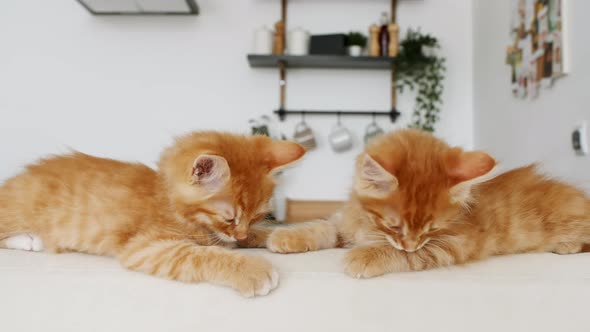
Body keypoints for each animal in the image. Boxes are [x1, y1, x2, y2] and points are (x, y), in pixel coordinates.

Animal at [0, 132, 306, 296]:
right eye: (229, 217)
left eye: (256, 216)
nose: (240, 233)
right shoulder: (146, 246)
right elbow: (202, 254)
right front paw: (253, 269)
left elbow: (244, 238)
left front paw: (279, 236)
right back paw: (29, 239)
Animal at [268, 129, 590, 278]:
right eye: (394, 226)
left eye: (431, 229)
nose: (410, 244)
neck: (368, 224)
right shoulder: (345, 221)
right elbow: (323, 227)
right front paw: (287, 236)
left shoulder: (452, 244)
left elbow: (407, 255)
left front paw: (365, 256)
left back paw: (567, 246)